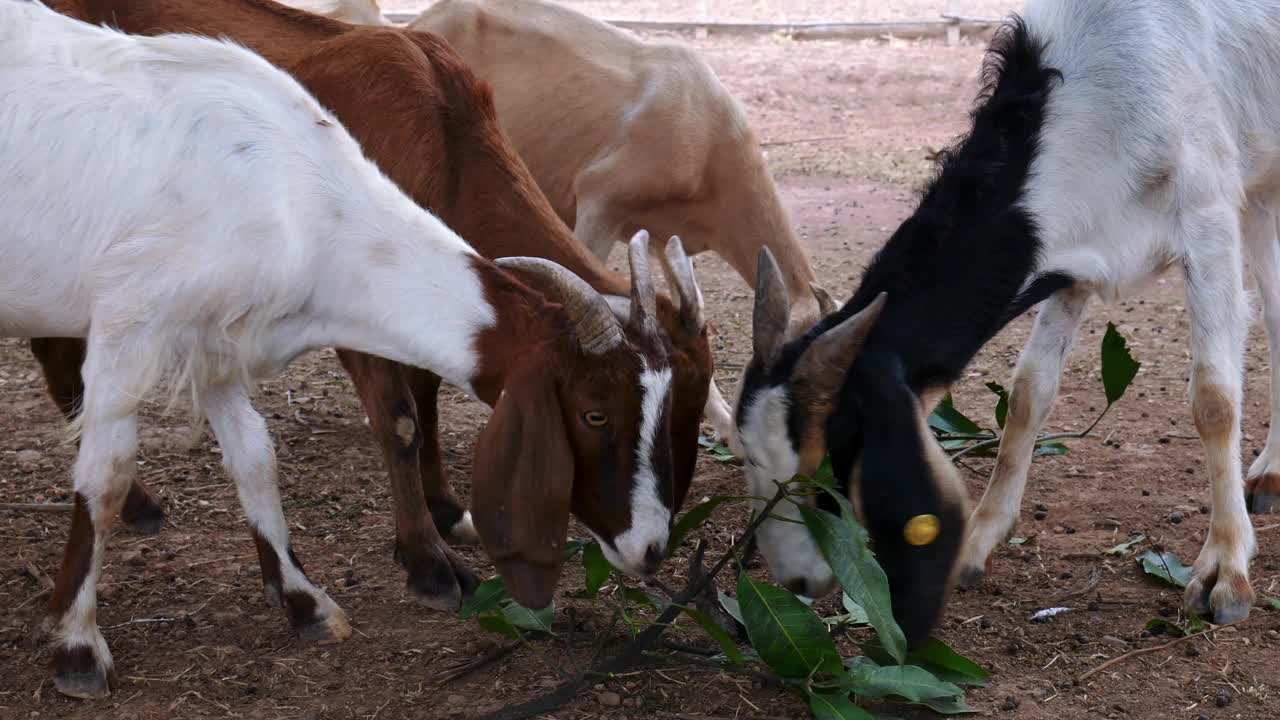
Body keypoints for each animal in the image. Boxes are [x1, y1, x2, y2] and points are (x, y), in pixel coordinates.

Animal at [2, 0, 680, 696]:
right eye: (595, 412)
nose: (653, 547)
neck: (293, 195)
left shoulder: (216, 339)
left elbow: (255, 457)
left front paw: (306, 602)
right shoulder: (129, 327)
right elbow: (104, 476)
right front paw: (77, 646)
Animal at [732, 0, 1280, 645]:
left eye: (824, 465)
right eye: (747, 456)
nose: (796, 580)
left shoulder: (1208, 216)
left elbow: (1214, 401)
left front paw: (1225, 570)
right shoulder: (1074, 252)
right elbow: (1028, 392)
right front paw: (978, 540)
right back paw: (1270, 474)